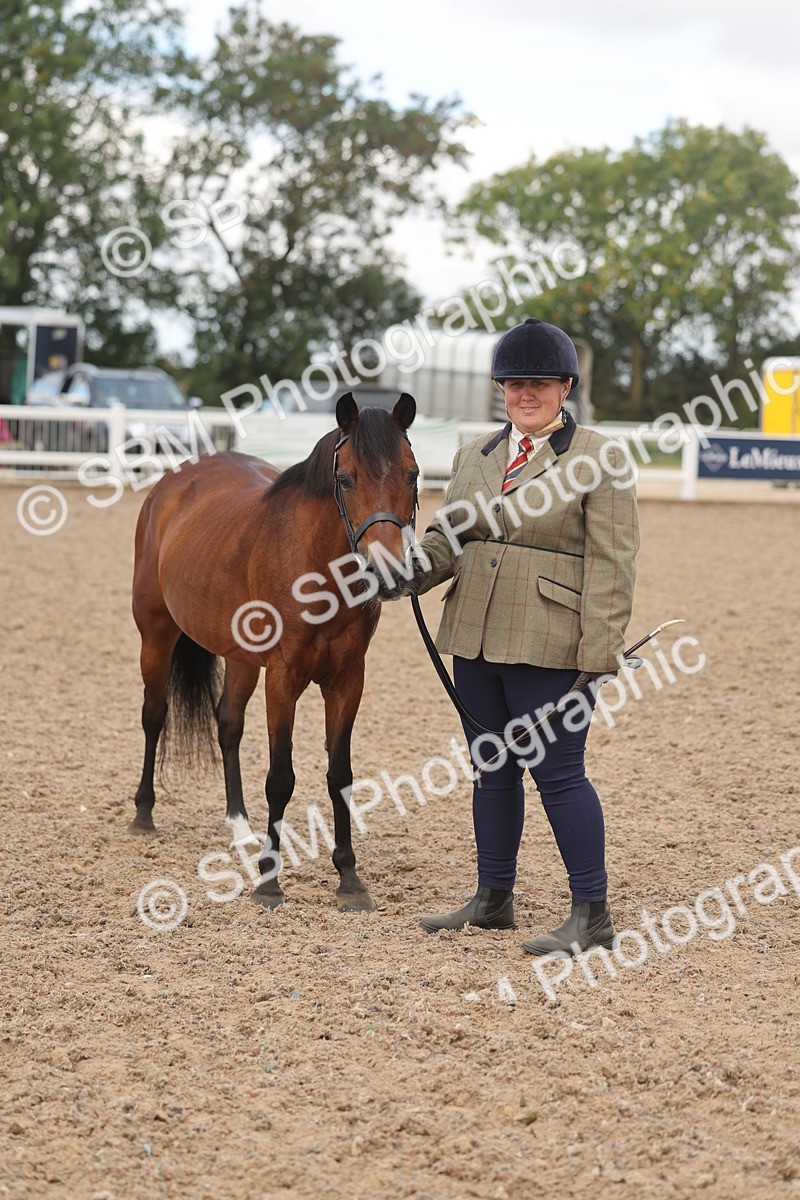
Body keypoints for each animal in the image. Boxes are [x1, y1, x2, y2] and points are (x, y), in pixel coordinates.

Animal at [131, 392, 419, 912]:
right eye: (345, 479)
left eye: (412, 475)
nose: (388, 573)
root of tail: (176, 480)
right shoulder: (283, 676)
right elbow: (281, 777)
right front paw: (268, 881)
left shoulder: (348, 679)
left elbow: (340, 775)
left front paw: (349, 877)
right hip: (156, 634)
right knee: (154, 714)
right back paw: (144, 813)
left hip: (242, 658)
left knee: (227, 725)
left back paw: (240, 828)